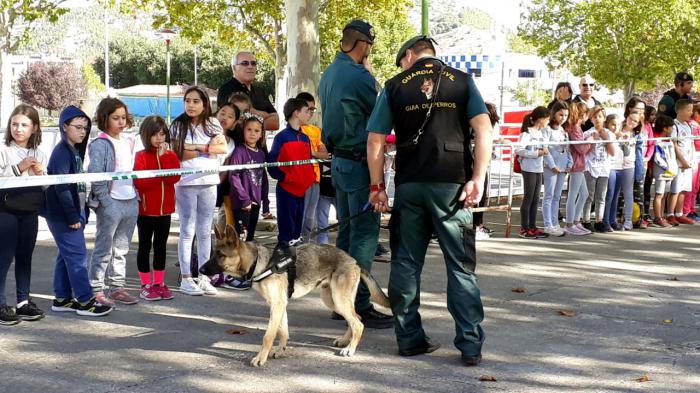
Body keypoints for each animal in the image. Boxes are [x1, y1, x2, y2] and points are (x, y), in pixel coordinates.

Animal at [200, 225, 392, 366]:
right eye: (213, 253)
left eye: (221, 255)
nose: (200, 270)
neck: (258, 263)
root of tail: (353, 260)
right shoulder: (279, 305)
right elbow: (282, 331)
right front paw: (280, 351)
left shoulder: (277, 305)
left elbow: (268, 336)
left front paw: (261, 358)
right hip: (333, 301)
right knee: (356, 317)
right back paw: (345, 341)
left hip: (339, 300)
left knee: (358, 323)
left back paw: (350, 349)